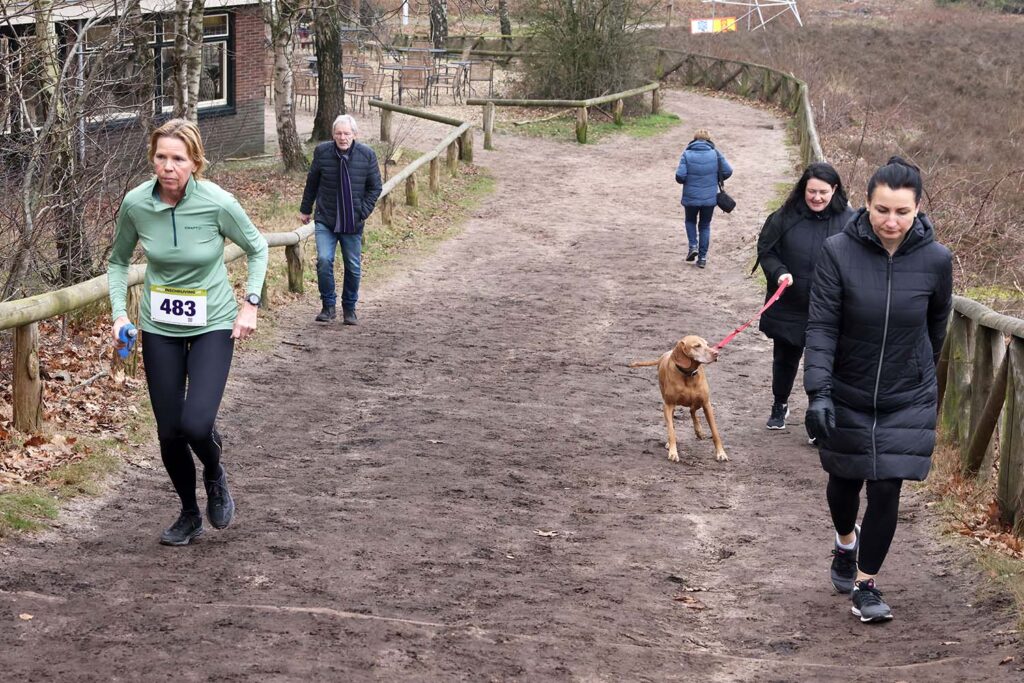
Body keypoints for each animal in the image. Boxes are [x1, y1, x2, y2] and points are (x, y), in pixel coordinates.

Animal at [626, 335, 724, 464]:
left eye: (707, 344)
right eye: (697, 346)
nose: (716, 353)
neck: (688, 375)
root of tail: (664, 355)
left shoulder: (707, 404)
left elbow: (715, 432)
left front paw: (721, 453)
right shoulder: (668, 405)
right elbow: (671, 431)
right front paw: (673, 452)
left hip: (698, 402)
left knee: (692, 410)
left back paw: (699, 431)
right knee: (677, 420)